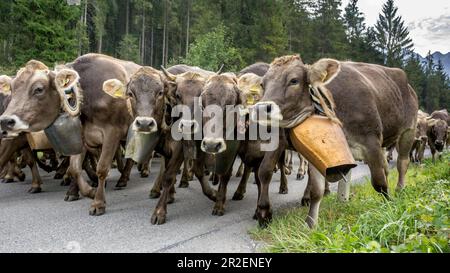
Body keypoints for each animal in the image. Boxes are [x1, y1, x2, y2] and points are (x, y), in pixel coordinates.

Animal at [253, 54, 418, 225]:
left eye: (294, 80)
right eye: (262, 84)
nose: (260, 109)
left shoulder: (371, 142)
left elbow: (379, 182)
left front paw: (388, 207)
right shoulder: (316, 150)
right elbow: (316, 190)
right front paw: (310, 223)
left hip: (408, 131)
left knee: (402, 163)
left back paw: (399, 189)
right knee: (387, 167)